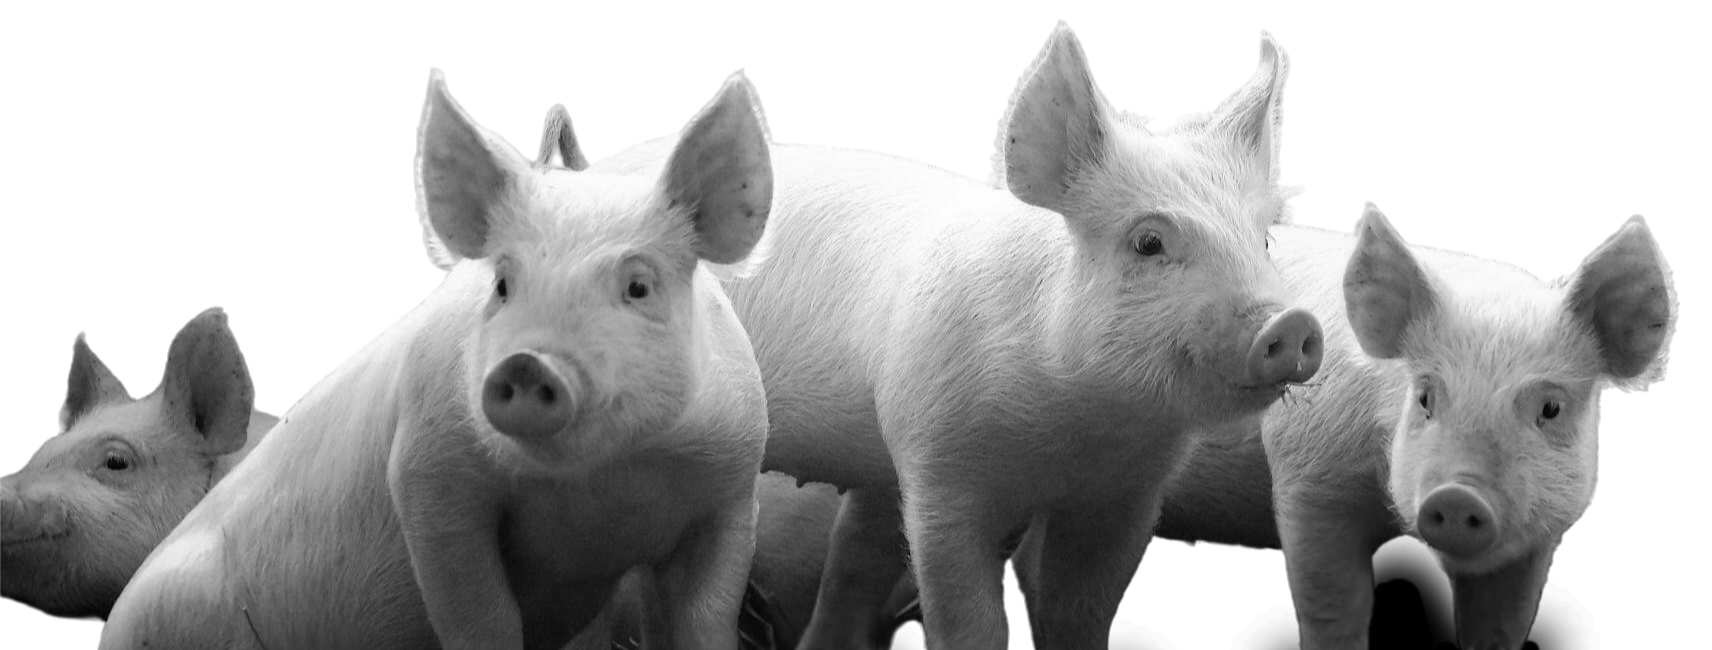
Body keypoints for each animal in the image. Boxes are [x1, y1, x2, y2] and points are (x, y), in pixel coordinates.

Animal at [98, 66, 774, 650]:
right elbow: (481, 618)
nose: (527, 363)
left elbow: (703, 621)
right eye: (503, 284)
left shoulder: (732, 490)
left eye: (638, 286)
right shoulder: (428, 470)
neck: (597, 486)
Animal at [581, 19, 1323, 650]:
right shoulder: (940, 465)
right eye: (1148, 241)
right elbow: (965, 613)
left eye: (1261, 240)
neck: (1078, 431)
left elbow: (1078, 609)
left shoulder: (1125, 497)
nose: (1290, 323)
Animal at [1247, 201, 1674, 650]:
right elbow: (1332, 605)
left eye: (1552, 407)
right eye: (1425, 397)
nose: (1457, 496)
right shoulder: (1308, 476)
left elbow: (1501, 622)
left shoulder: (1533, 543)